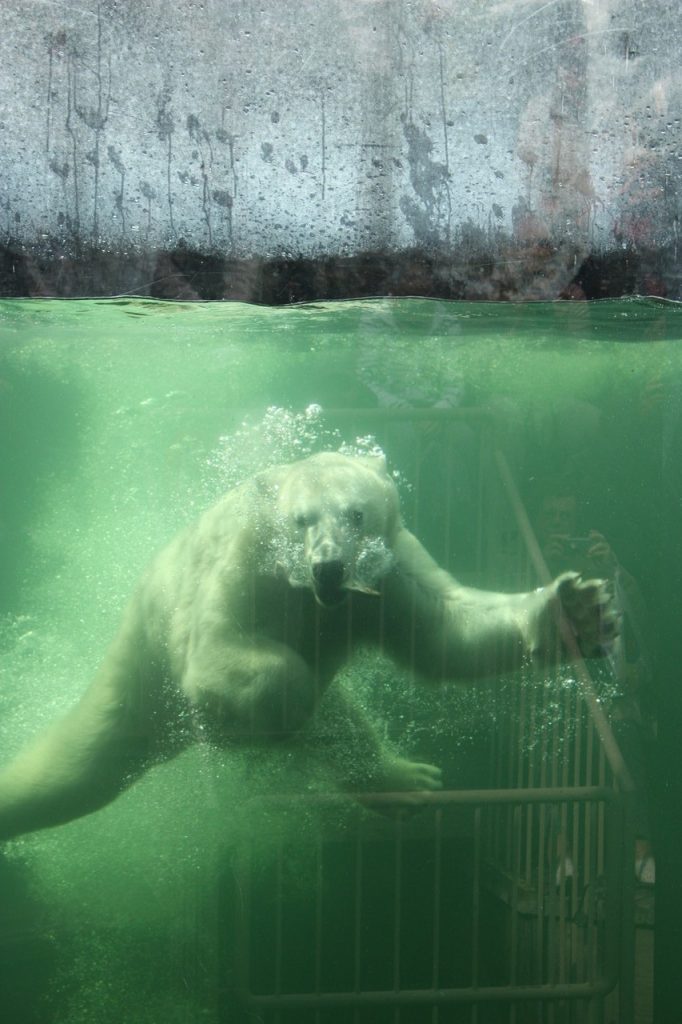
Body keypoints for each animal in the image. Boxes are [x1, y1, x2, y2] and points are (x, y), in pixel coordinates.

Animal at [0, 456, 610, 839]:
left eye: (356, 513)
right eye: (301, 519)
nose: (329, 568)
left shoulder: (389, 571)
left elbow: (446, 631)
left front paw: (578, 611)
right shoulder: (240, 567)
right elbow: (217, 654)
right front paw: (282, 705)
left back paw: (410, 782)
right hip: (142, 670)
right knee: (73, 770)